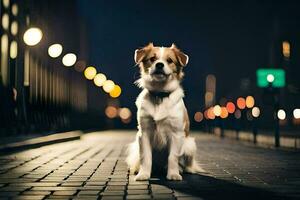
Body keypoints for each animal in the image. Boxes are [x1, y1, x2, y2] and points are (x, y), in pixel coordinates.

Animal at [125, 43, 203, 180]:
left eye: (169, 60)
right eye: (152, 59)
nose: (159, 65)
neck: (159, 95)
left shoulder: (176, 134)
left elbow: (173, 157)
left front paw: (173, 174)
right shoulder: (144, 133)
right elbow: (145, 157)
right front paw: (143, 174)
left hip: (190, 144)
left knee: (188, 163)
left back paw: (185, 170)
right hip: (135, 146)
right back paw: (136, 168)